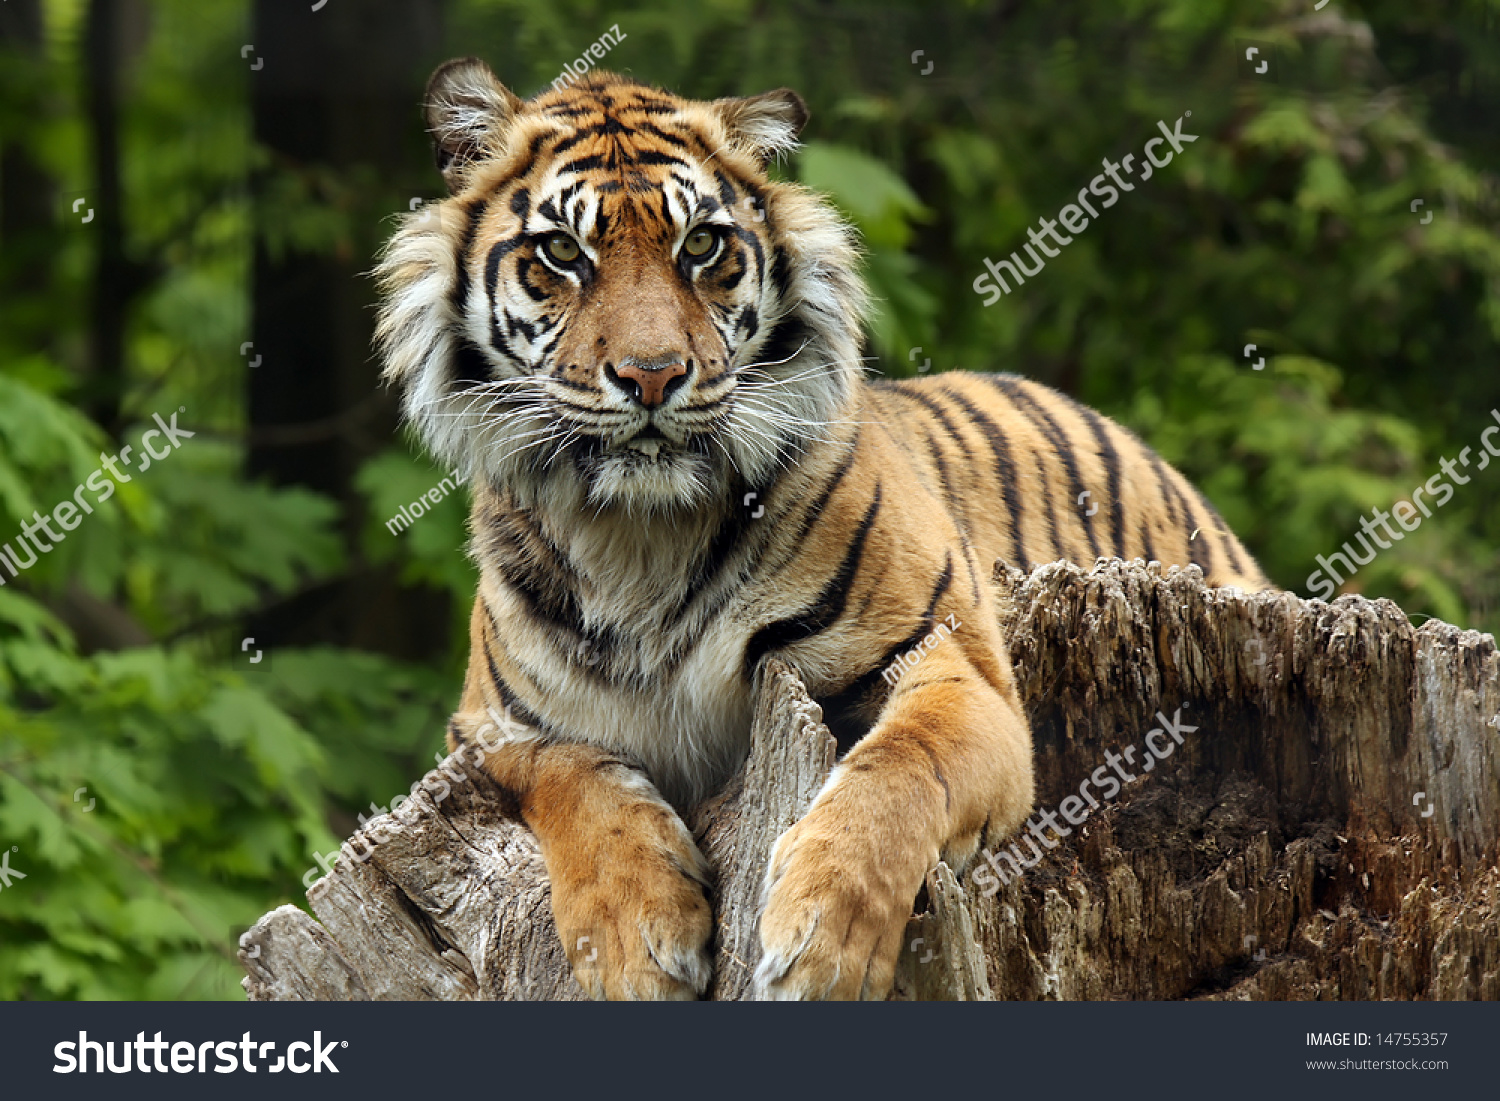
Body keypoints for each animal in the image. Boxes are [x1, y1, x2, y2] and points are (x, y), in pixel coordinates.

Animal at [372, 58, 1266, 1008]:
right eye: (563, 254)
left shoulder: (956, 663)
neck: (640, 535)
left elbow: (904, 762)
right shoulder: (490, 729)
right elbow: (579, 783)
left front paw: (823, 940)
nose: (652, 376)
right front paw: (633, 943)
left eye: (701, 246)